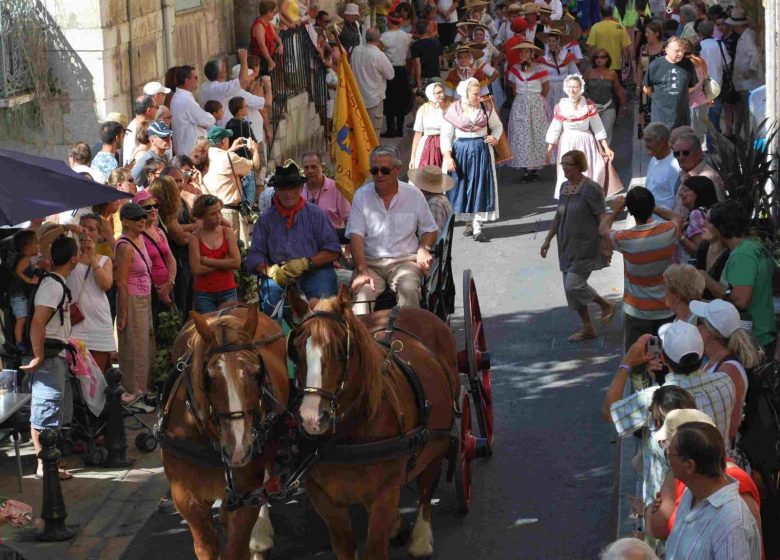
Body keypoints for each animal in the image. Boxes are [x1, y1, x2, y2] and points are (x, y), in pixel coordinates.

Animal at [158, 306, 290, 560]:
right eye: (208, 378)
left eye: (257, 373)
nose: (238, 449)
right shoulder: (185, 496)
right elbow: (206, 547)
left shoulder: (246, 493)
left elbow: (235, 549)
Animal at [286, 286, 460, 556]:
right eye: (295, 350)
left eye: (341, 349)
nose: (312, 417)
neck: (348, 439)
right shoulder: (325, 502)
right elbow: (345, 548)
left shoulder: (383, 497)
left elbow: (375, 549)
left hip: (438, 442)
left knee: (426, 485)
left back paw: (421, 540)